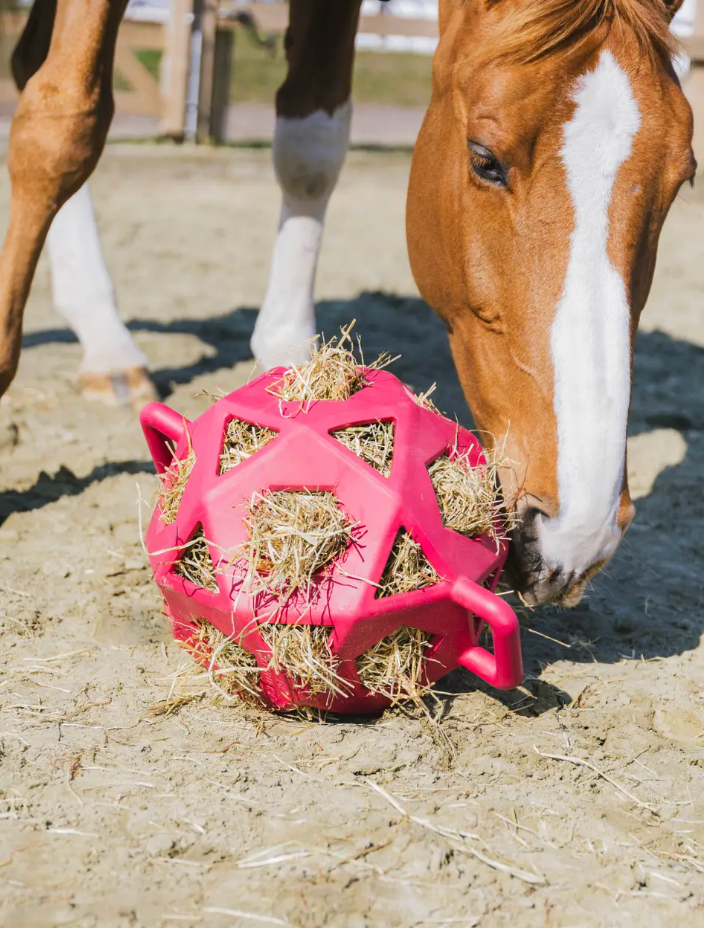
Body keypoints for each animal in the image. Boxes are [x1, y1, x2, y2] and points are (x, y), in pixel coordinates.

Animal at [0, 0, 696, 608]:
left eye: (682, 179)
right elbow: (62, 125)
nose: (577, 533)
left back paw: (106, 343)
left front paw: (290, 360)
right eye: (484, 160)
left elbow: (311, 143)